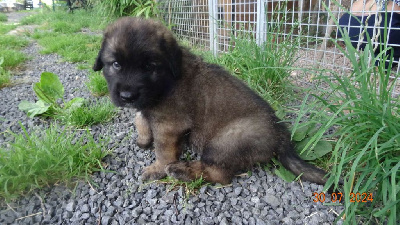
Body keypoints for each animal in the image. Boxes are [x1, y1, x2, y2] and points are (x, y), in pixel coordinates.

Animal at [94, 16, 328, 185]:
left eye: (150, 67)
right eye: (116, 64)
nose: (127, 97)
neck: (167, 79)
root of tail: (281, 134)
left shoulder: (169, 125)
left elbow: (163, 150)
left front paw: (157, 168)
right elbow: (140, 118)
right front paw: (143, 139)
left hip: (224, 142)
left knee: (220, 175)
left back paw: (181, 171)